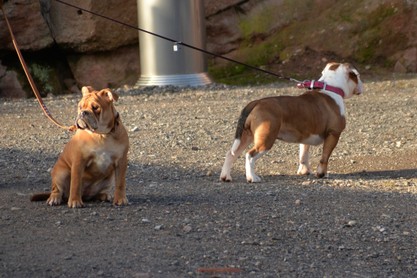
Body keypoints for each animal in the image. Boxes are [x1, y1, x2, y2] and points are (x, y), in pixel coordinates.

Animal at [221, 62, 360, 182]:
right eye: (358, 76)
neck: (331, 88)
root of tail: (256, 102)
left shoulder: (306, 137)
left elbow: (303, 156)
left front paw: (304, 171)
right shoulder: (334, 134)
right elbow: (324, 157)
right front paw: (321, 174)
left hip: (245, 137)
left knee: (231, 154)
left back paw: (225, 176)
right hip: (266, 140)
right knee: (249, 155)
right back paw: (252, 178)